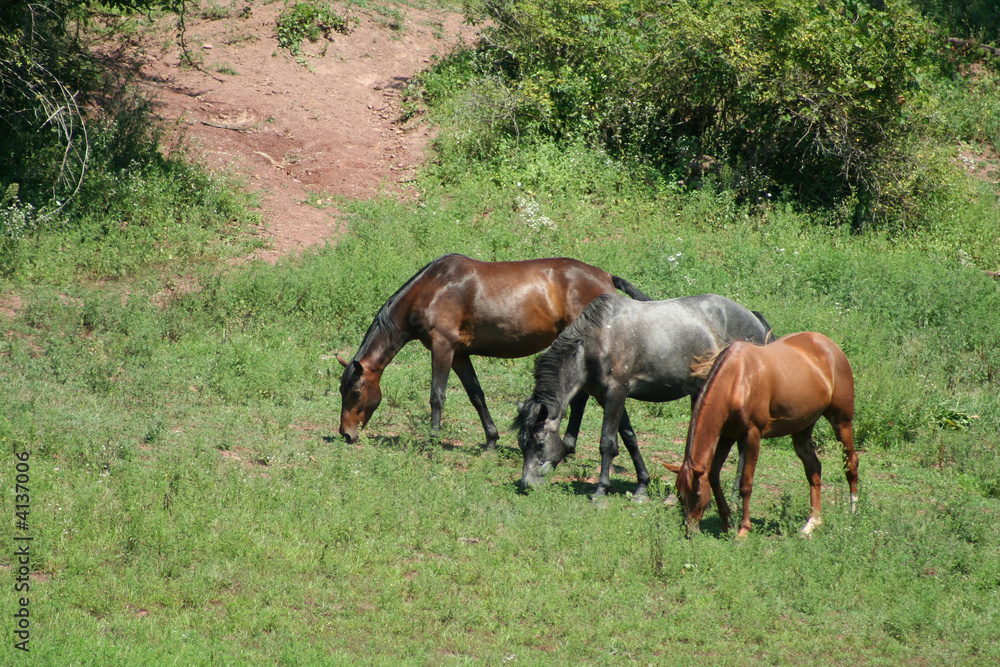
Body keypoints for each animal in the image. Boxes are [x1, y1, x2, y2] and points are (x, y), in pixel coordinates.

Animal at [336, 254, 648, 448]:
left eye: (355, 392)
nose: (345, 435)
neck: (432, 288)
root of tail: (606, 277)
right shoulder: (460, 354)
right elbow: (476, 395)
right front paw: (491, 440)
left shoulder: (442, 347)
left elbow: (437, 396)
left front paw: (433, 440)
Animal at [512, 294, 776, 500]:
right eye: (521, 443)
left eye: (540, 443)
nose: (527, 484)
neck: (596, 341)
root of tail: (754, 320)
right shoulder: (607, 397)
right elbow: (629, 438)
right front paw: (642, 486)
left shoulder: (615, 393)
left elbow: (607, 442)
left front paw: (600, 491)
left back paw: (733, 495)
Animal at [668, 332, 856, 540]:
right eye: (679, 495)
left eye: (697, 495)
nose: (690, 533)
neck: (737, 380)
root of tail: (830, 346)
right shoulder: (726, 435)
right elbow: (714, 475)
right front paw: (727, 524)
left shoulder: (752, 436)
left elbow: (745, 484)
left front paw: (743, 530)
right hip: (802, 429)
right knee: (813, 469)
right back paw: (812, 523)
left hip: (842, 421)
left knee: (851, 462)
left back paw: (854, 513)